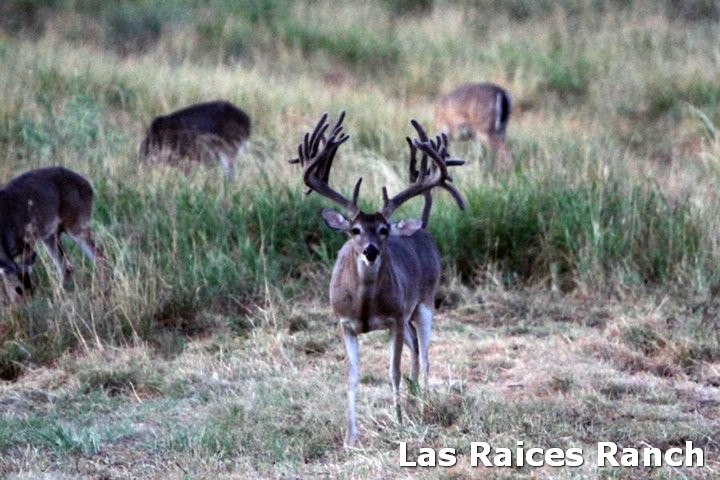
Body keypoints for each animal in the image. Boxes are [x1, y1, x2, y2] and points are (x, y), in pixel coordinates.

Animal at [0, 165, 102, 300]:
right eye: (18, 290)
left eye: (27, 288)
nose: (26, 303)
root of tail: (89, 187)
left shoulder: (26, 243)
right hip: (51, 236)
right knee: (67, 267)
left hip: (77, 224)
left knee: (97, 255)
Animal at [290, 111, 464, 446]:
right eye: (354, 230)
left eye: (383, 230)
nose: (370, 250)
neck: (365, 305)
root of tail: (421, 228)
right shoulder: (344, 322)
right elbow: (352, 376)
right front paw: (350, 436)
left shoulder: (394, 317)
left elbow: (393, 372)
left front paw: (398, 422)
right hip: (407, 316)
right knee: (415, 350)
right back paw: (414, 401)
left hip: (424, 302)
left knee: (424, 356)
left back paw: (422, 404)